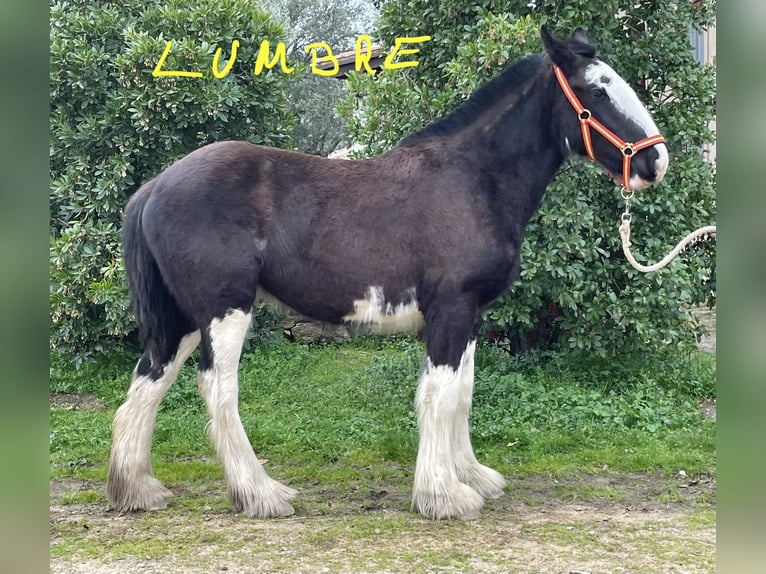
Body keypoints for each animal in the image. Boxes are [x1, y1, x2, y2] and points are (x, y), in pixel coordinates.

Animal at [107, 26, 668, 520]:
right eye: (597, 89)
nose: (656, 162)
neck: (473, 180)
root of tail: (155, 186)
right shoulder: (451, 310)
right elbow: (439, 397)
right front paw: (444, 496)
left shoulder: (468, 316)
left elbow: (461, 393)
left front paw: (473, 477)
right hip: (225, 310)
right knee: (218, 390)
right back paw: (261, 494)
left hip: (182, 319)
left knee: (149, 381)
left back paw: (138, 490)